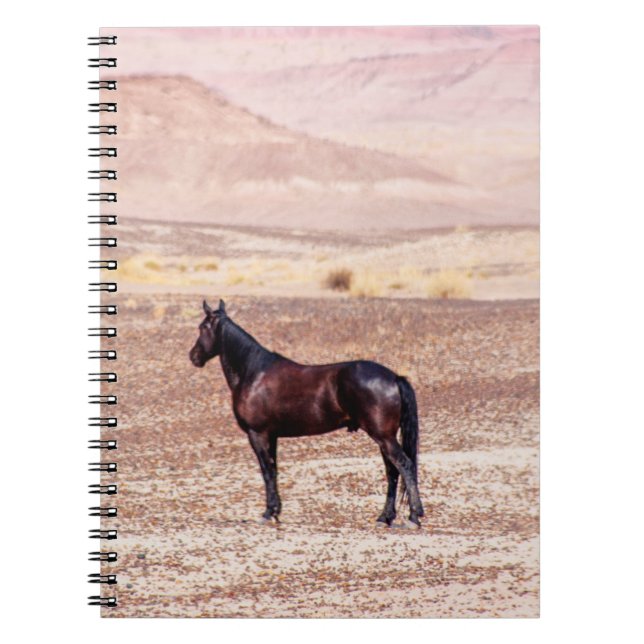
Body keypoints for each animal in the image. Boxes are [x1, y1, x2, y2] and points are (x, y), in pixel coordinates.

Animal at [189, 299, 425, 527]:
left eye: (202, 327)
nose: (193, 356)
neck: (253, 373)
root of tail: (394, 377)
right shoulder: (271, 436)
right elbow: (274, 470)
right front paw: (276, 512)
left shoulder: (257, 434)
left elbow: (266, 471)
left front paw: (267, 513)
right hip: (385, 438)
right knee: (392, 472)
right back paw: (385, 518)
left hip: (384, 437)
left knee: (404, 465)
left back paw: (413, 517)